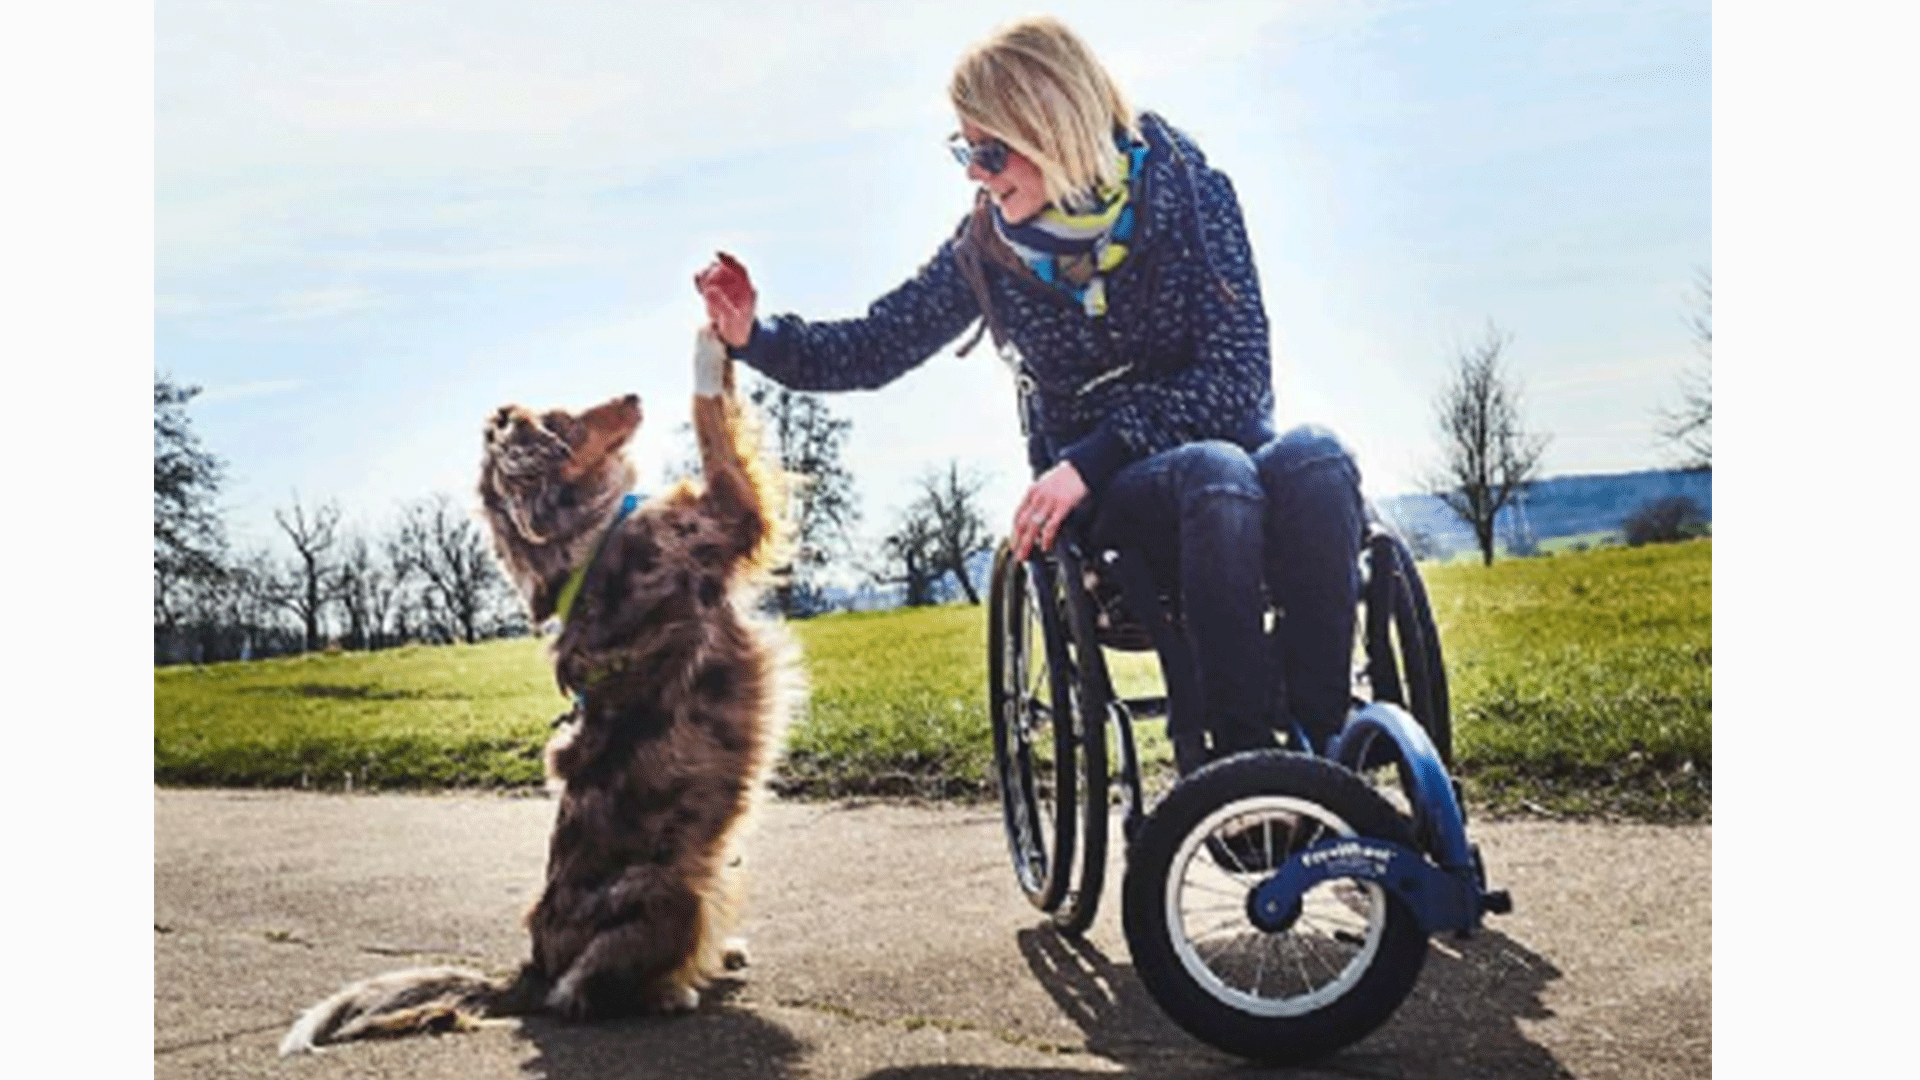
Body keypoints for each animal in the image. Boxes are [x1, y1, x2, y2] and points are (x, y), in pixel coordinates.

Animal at [278, 328, 794, 1053]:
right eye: (561, 421)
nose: (633, 395)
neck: (585, 543)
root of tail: (531, 967)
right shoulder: (728, 510)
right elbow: (711, 415)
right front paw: (710, 339)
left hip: (721, 869)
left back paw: (719, 957)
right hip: (672, 885)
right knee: (584, 994)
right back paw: (673, 991)